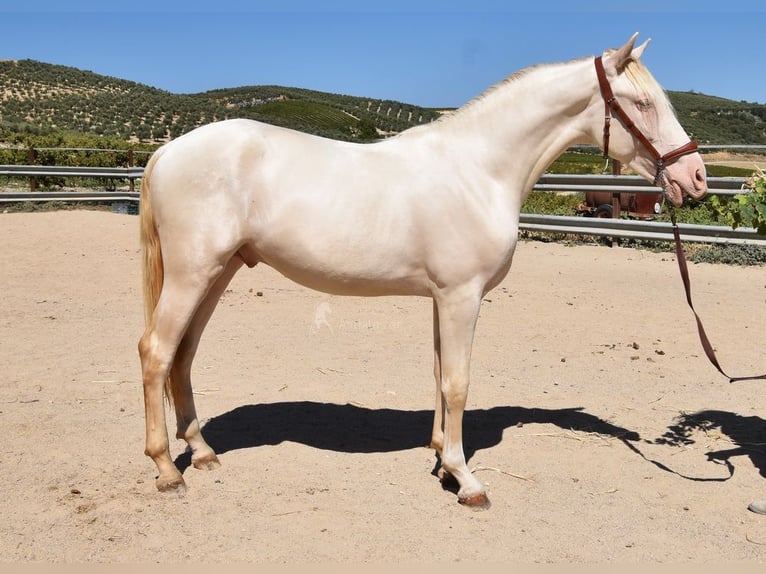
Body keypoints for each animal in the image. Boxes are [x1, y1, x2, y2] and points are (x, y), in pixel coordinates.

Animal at [138, 35, 708, 508]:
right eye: (642, 103)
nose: (696, 177)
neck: (478, 170)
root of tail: (167, 151)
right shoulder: (462, 296)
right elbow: (457, 382)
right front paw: (466, 479)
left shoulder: (442, 297)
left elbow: (438, 375)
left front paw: (441, 462)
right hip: (193, 274)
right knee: (157, 352)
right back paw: (167, 470)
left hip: (219, 272)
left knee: (184, 355)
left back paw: (203, 452)